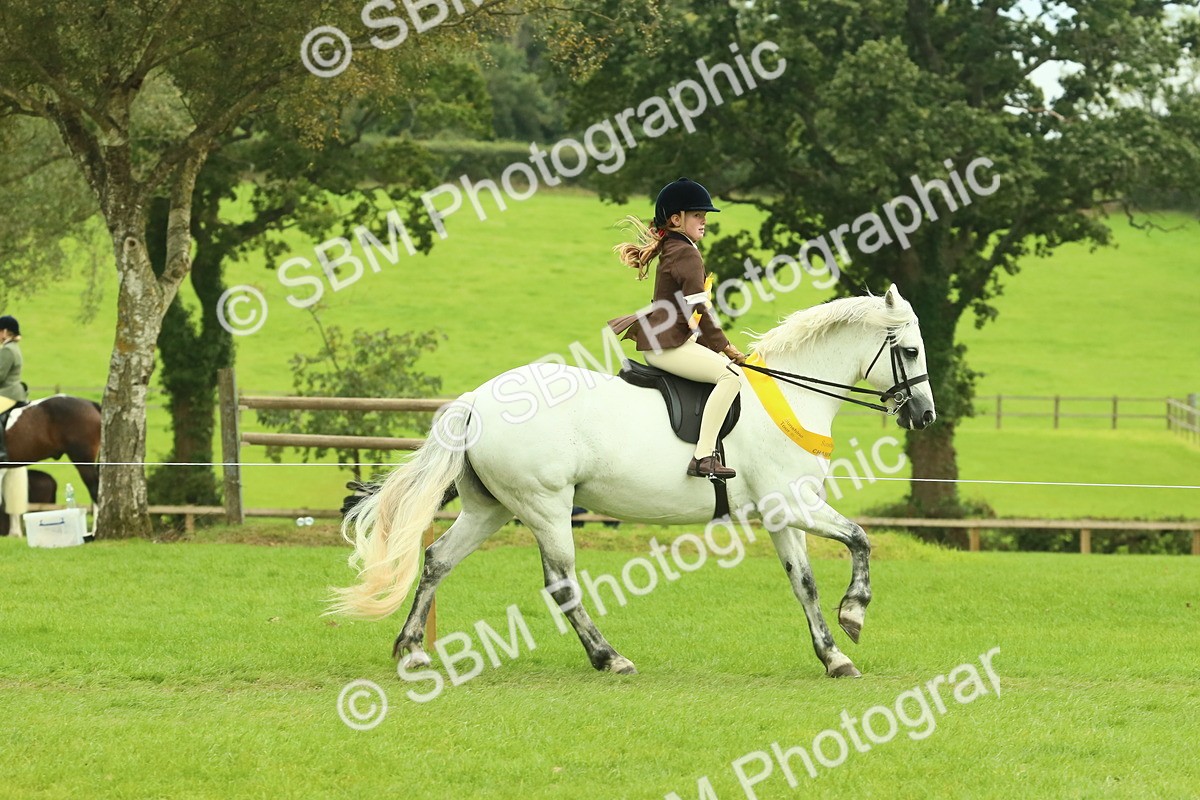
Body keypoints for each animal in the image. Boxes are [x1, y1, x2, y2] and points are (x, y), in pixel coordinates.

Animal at [331, 286, 936, 679]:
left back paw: (412, 650)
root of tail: (477, 400)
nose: (924, 415)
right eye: (908, 351)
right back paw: (610, 657)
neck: (792, 394)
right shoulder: (794, 501)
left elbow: (804, 584)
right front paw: (854, 613)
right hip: (547, 507)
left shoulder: (781, 513)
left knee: (437, 561)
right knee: (562, 585)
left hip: (491, 509)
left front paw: (835, 656)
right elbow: (861, 539)